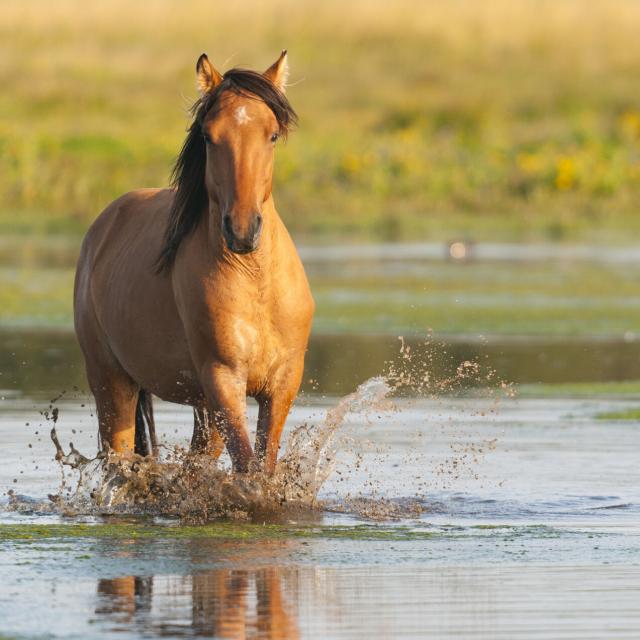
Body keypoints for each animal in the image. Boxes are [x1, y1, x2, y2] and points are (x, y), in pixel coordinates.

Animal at [74, 52, 314, 472]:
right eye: (208, 136)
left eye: (271, 135)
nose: (242, 229)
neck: (256, 282)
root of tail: (100, 230)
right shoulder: (223, 379)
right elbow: (247, 467)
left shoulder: (282, 383)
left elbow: (263, 466)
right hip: (111, 381)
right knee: (117, 459)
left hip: (200, 407)